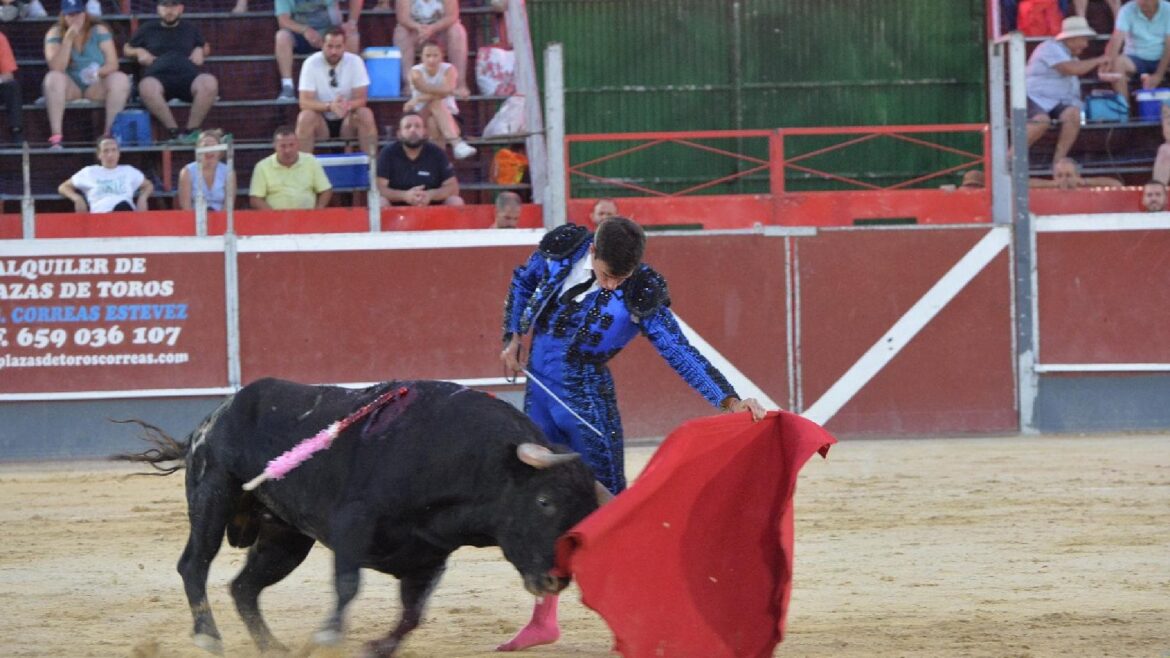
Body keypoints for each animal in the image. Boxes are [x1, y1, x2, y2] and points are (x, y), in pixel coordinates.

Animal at [117, 377, 603, 650]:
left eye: (584, 511)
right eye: (545, 502)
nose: (556, 580)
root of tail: (211, 418)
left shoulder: (428, 555)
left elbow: (411, 614)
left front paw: (376, 646)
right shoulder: (353, 524)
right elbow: (349, 585)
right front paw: (330, 636)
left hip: (285, 538)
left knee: (244, 587)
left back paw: (272, 646)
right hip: (213, 497)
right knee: (194, 564)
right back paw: (208, 636)